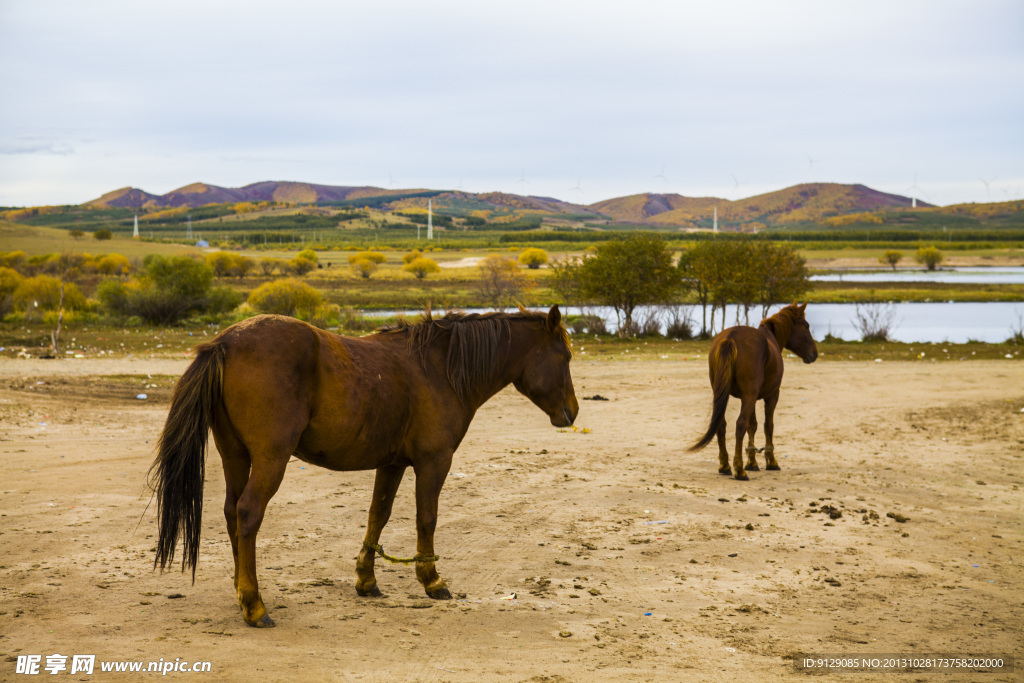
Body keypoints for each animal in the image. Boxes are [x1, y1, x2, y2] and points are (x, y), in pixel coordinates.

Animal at [149, 307, 577, 626]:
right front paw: (431, 580)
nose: (572, 413)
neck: (438, 368)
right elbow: (427, 518)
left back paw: (242, 592)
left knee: (231, 515)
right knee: (248, 513)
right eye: (566, 356)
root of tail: (226, 342)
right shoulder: (434, 462)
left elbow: (378, 515)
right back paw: (255, 604)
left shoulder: (392, 464)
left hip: (235, 456)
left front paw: (366, 579)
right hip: (270, 460)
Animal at [692, 305, 819, 481]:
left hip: (730, 395)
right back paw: (739, 470)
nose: (815, 353)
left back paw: (725, 466)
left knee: (722, 425)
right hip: (751, 396)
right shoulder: (771, 396)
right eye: (806, 326)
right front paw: (771, 461)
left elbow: (752, 426)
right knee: (740, 424)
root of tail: (731, 338)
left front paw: (752, 462)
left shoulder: (750, 399)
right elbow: (768, 426)